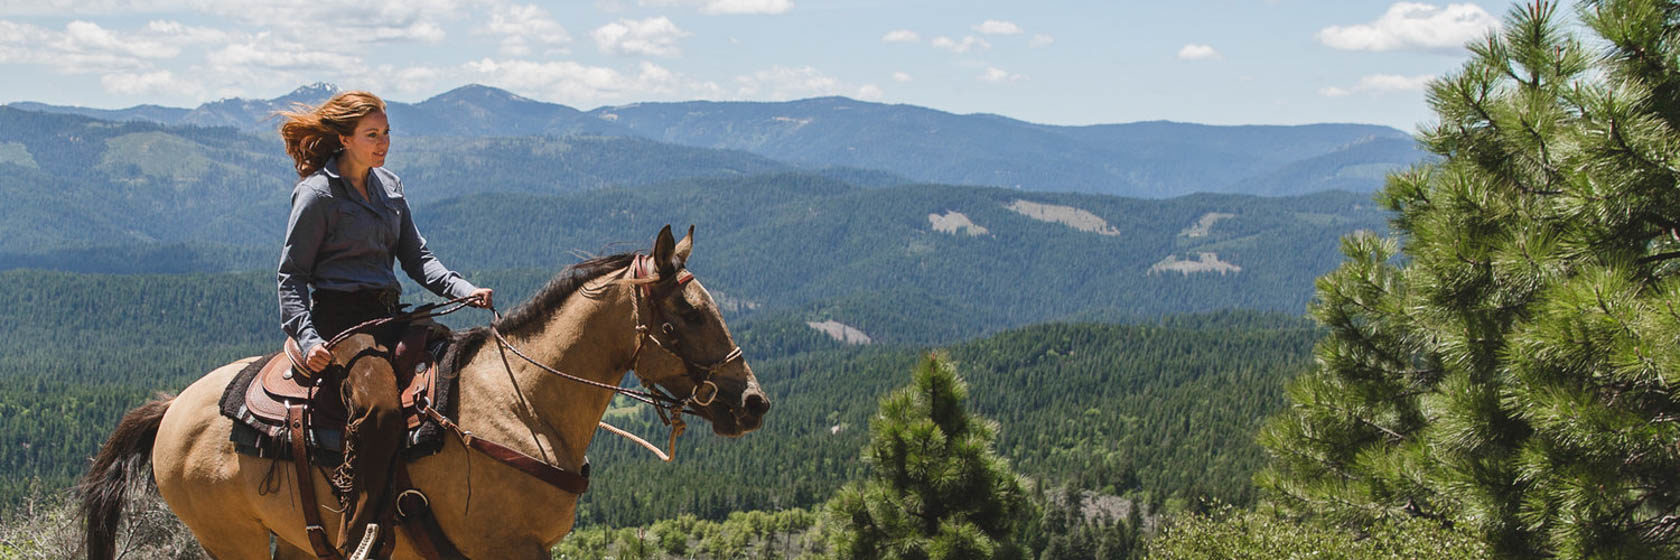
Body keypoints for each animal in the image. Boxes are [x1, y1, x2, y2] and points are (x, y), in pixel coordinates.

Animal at [80, 225, 771, 559]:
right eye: (688, 315)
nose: (752, 402)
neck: (523, 407)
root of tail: (173, 407)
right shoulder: (508, 549)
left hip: (298, 538)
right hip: (233, 539)